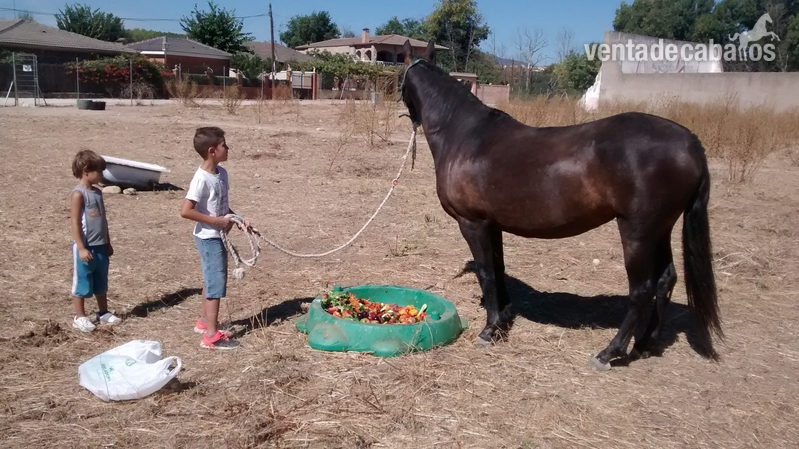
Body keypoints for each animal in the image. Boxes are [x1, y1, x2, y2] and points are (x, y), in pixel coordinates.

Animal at [398, 40, 723, 370]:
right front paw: (504, 317)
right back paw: (645, 343)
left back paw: (609, 352)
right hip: (661, 229)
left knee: (642, 290)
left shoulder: (473, 224)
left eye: (399, 73)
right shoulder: (493, 225)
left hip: (638, 232)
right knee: (665, 280)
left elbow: (486, 274)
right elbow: (498, 269)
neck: (464, 135)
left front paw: (490, 330)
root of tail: (689, 141)